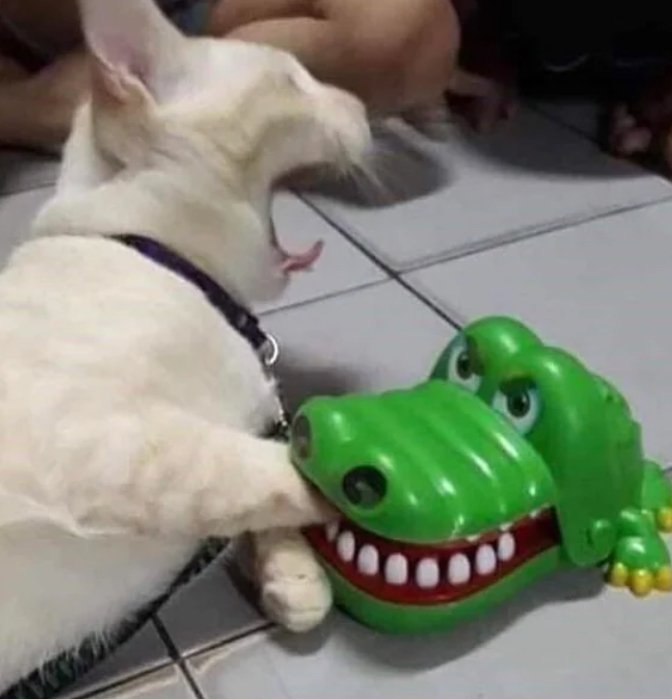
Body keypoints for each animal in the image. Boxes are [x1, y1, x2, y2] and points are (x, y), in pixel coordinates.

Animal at [0, 0, 370, 690]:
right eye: (292, 80)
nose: (361, 103)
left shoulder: (246, 422)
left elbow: (258, 491)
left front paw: (292, 576)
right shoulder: (103, 442)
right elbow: (264, 470)